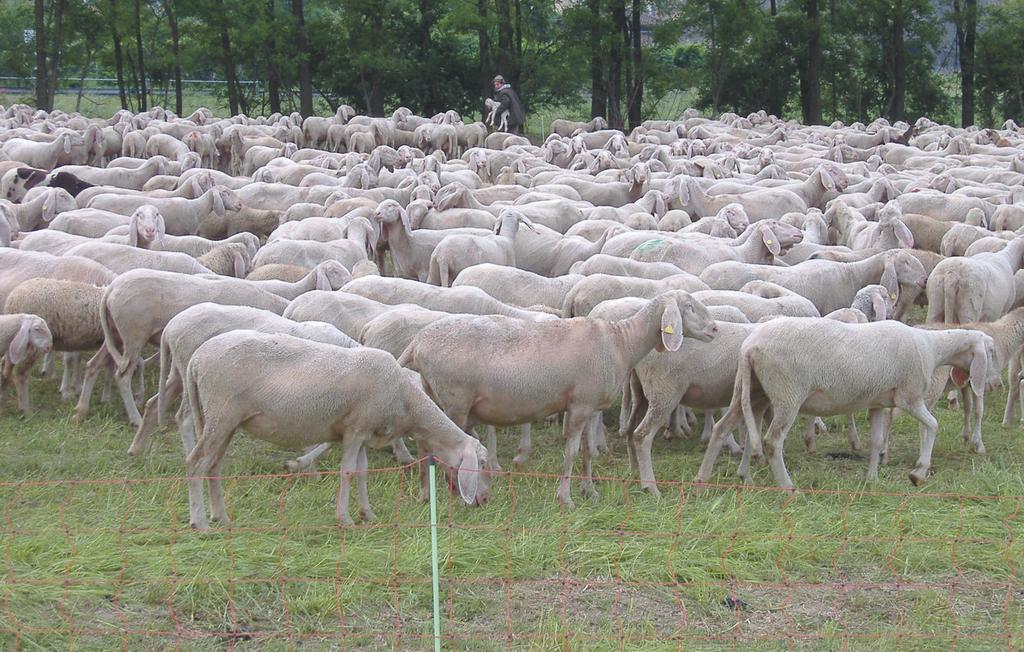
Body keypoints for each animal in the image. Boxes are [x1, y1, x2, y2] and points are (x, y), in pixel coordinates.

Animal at [395, 290, 716, 507]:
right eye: (689, 307)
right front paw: (566, 498)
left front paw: (590, 491)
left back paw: (425, 494)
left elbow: (586, 452)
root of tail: (417, 343)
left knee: (425, 444)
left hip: (432, 395)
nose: (715, 329)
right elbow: (571, 452)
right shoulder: (579, 405)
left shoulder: (588, 406)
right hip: (455, 401)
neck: (621, 343)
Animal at [692, 315, 995, 487]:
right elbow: (932, 425)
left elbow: (876, 441)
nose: (993, 383)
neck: (931, 347)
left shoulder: (877, 403)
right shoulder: (909, 397)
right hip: (788, 393)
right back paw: (788, 488)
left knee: (722, 427)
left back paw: (706, 478)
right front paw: (918, 472)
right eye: (990, 351)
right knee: (771, 441)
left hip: (752, 391)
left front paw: (872, 478)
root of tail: (749, 346)